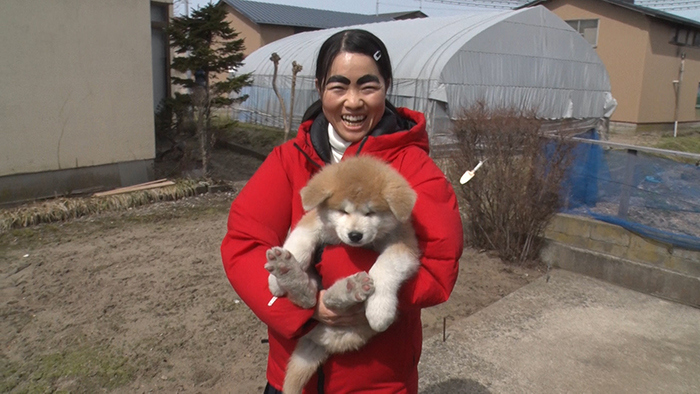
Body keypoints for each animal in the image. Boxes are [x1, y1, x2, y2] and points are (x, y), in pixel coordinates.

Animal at [264, 155, 418, 394]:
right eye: (343, 211)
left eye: (370, 213)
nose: (355, 235)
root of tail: (317, 342)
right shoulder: (313, 222)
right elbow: (299, 241)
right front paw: (275, 281)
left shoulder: (404, 246)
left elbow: (385, 266)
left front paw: (380, 308)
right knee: (309, 299)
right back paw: (288, 272)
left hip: (351, 328)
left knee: (324, 299)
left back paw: (350, 289)